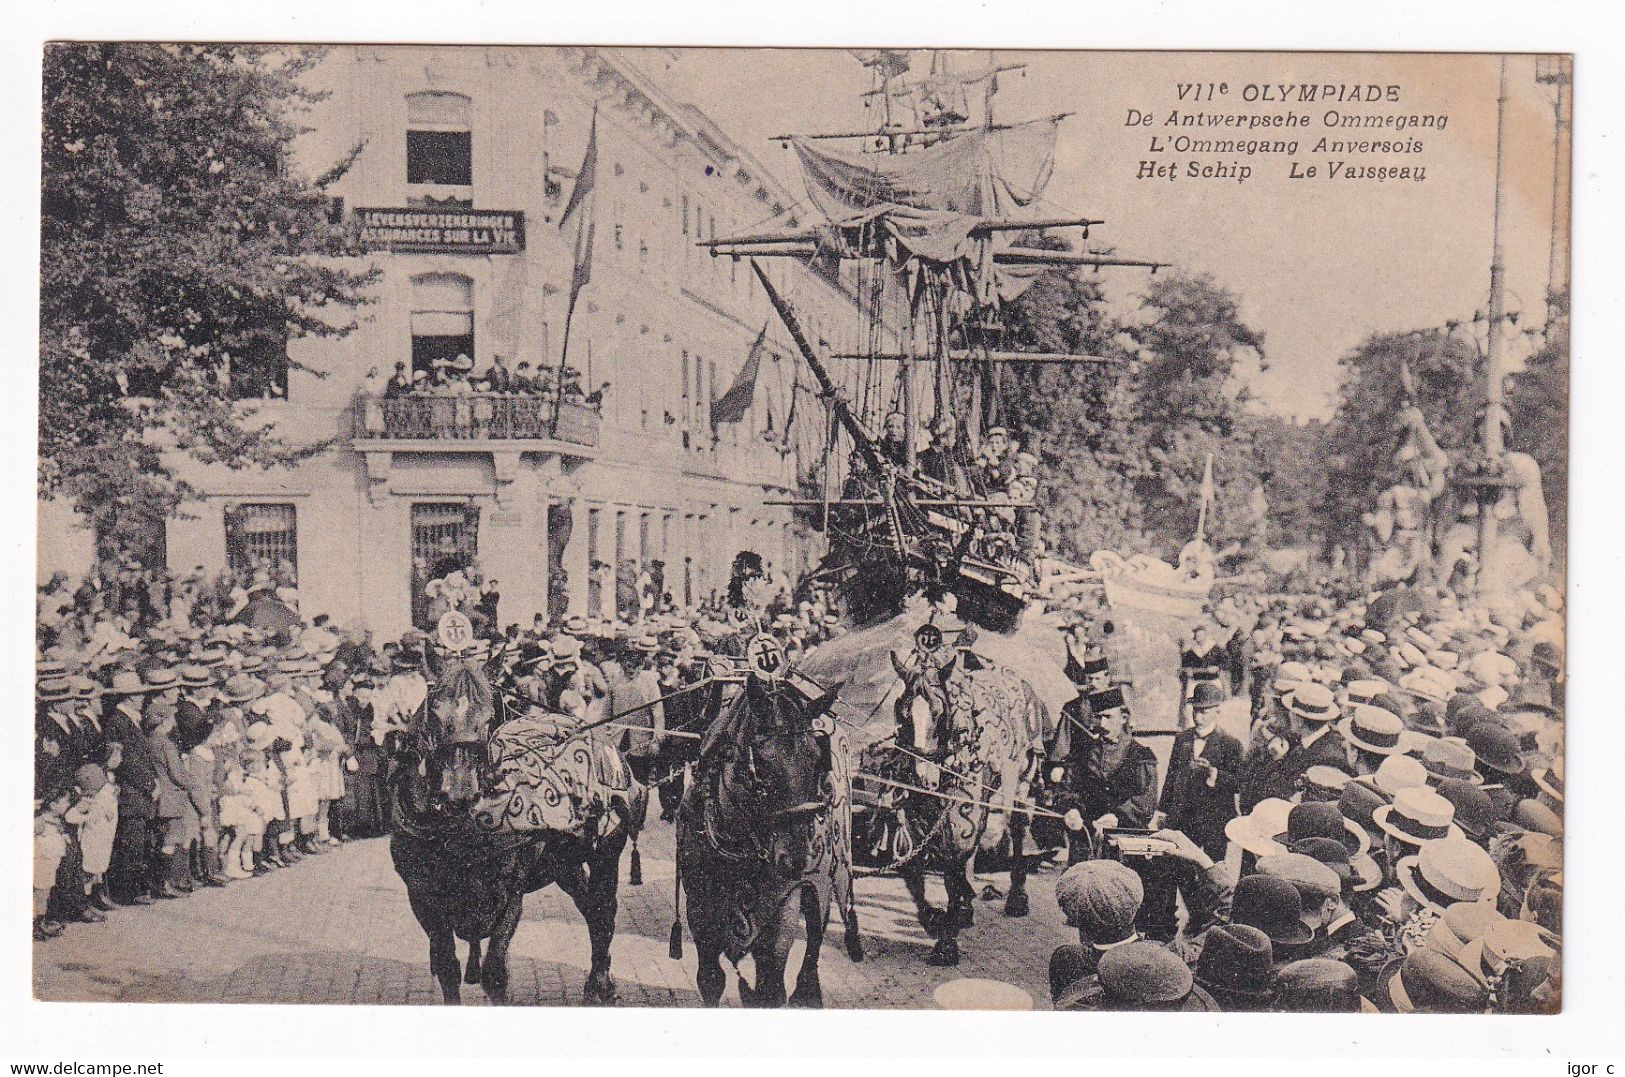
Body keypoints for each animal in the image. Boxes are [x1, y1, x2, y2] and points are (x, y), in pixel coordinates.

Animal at [672, 675, 864, 1013]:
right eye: (760, 763)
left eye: (818, 758)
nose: (797, 857)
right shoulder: (699, 909)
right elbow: (711, 979)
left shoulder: (784, 903)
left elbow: (771, 982)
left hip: (826, 876)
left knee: (816, 928)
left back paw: (808, 989)